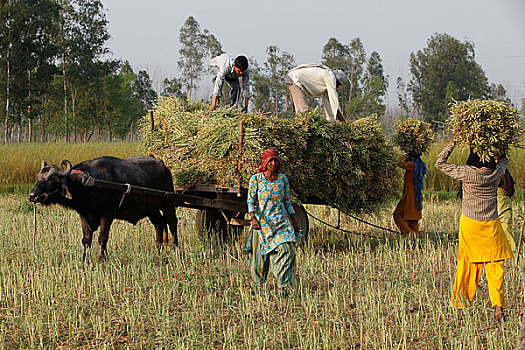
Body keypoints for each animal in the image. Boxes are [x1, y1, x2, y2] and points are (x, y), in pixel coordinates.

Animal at [29, 156, 178, 260]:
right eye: (38, 177)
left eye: (51, 178)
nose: (32, 196)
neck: (87, 185)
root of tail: (163, 164)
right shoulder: (84, 215)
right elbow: (86, 239)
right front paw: (85, 258)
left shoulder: (107, 215)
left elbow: (102, 237)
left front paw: (102, 258)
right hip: (151, 209)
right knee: (159, 223)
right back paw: (158, 248)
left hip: (168, 204)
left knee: (172, 223)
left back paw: (176, 248)